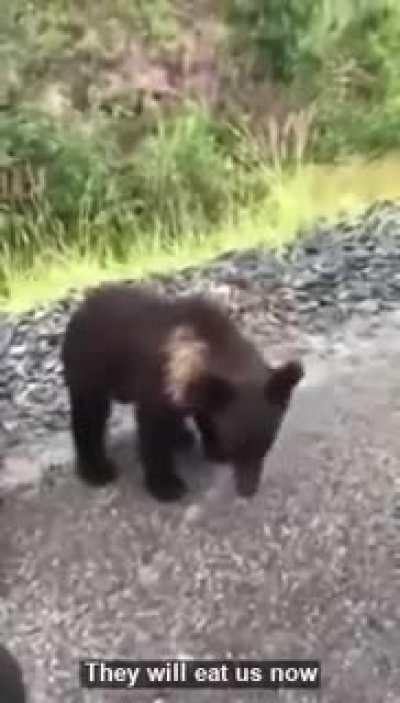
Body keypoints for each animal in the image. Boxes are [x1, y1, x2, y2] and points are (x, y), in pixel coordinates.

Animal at [62, 283, 304, 501]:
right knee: (89, 414)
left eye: (265, 444)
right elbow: (153, 433)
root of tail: (81, 308)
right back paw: (96, 470)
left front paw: (213, 447)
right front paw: (167, 486)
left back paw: (181, 436)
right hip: (90, 367)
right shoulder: (158, 383)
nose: (248, 490)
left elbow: (205, 413)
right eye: (237, 445)